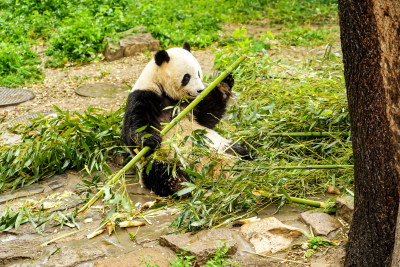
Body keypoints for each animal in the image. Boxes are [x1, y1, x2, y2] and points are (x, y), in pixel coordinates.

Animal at [122, 42, 248, 197]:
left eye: (199, 73)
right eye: (186, 77)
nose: (200, 90)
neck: (167, 94)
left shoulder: (192, 104)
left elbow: (208, 116)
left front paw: (224, 83)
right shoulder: (145, 96)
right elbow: (133, 130)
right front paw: (150, 139)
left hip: (220, 146)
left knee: (239, 151)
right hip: (161, 160)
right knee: (160, 172)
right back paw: (177, 182)